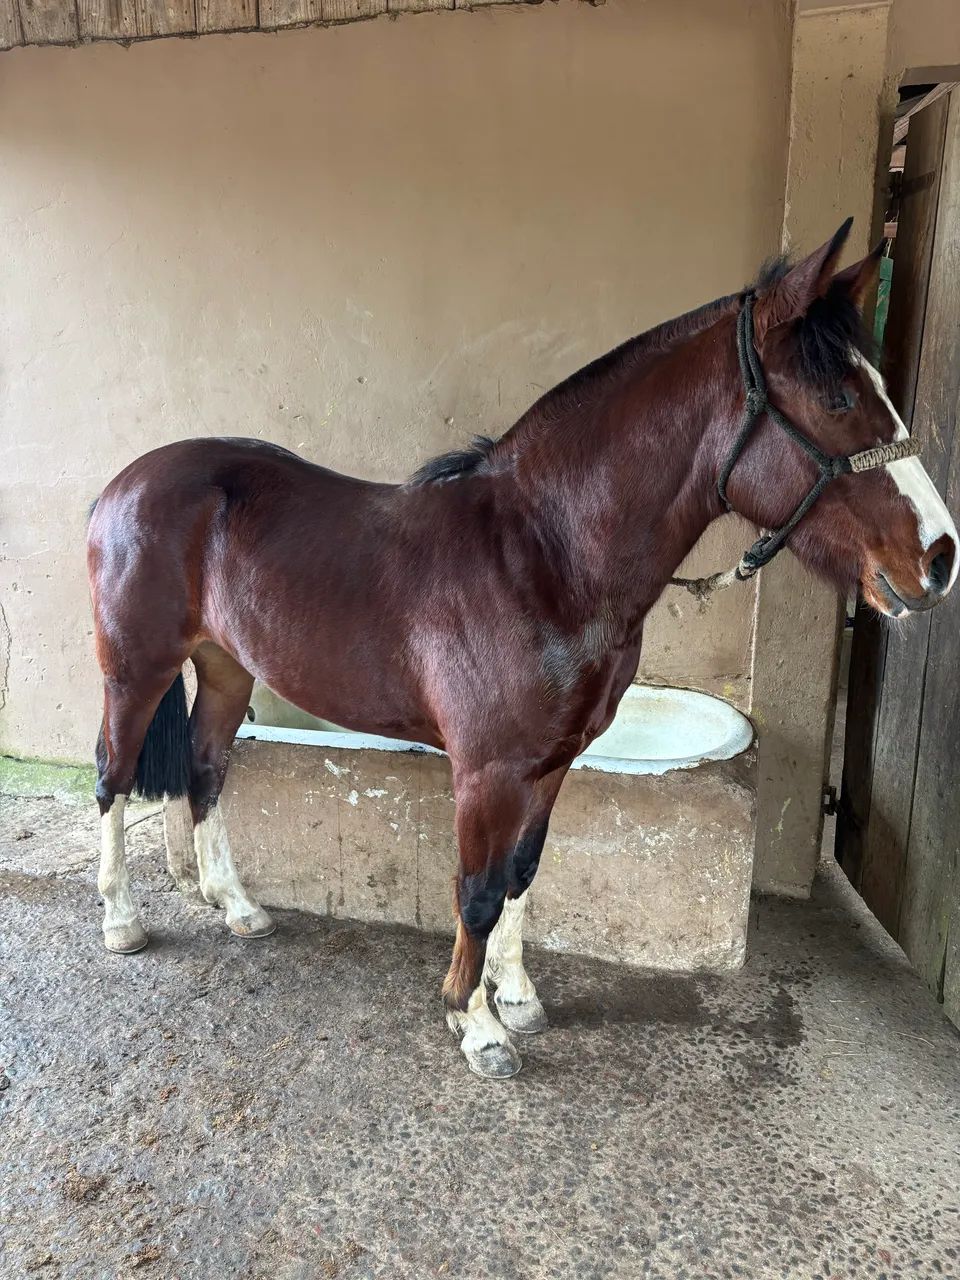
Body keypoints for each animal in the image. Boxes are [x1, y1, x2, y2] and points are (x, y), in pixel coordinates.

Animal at [87, 218, 958, 1079]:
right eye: (838, 398)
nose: (941, 556)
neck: (545, 557)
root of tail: (124, 484)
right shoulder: (486, 771)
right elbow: (477, 890)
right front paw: (475, 1025)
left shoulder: (550, 763)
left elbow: (521, 876)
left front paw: (516, 997)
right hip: (135, 671)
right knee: (115, 774)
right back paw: (122, 920)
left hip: (227, 668)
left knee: (206, 768)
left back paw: (238, 907)